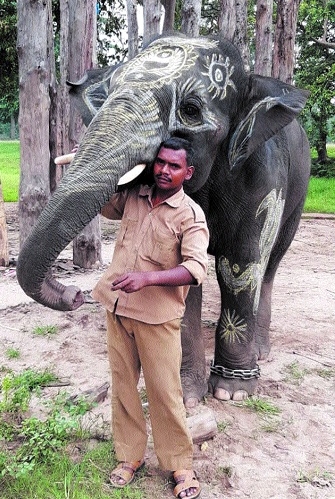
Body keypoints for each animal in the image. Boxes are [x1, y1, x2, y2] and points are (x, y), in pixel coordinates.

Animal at [15, 34, 312, 410]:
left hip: (298, 194)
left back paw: (260, 352)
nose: (74, 294)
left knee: (269, 265)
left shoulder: (264, 179)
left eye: (190, 110)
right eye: (108, 92)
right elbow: (183, 273)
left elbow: (241, 262)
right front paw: (187, 397)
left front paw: (231, 392)